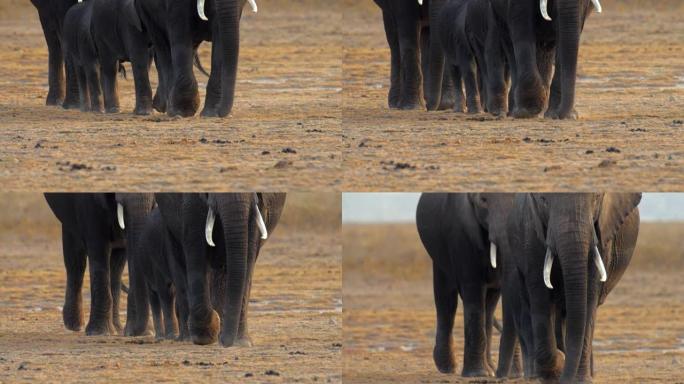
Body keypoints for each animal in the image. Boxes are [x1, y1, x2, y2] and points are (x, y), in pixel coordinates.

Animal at [44, 194, 155, 334]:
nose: (135, 332)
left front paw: (145, 333)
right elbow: (97, 244)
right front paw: (99, 332)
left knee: (116, 266)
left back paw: (117, 328)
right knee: (75, 258)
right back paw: (75, 326)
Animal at [154, 194, 284, 346]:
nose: (226, 342)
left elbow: (249, 249)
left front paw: (240, 342)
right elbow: (195, 242)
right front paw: (206, 335)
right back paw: (191, 337)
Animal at [414, 194, 520, 376]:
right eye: (483, 200)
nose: (502, 376)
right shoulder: (461, 232)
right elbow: (473, 290)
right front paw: (478, 374)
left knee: (489, 305)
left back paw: (490, 368)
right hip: (439, 254)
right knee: (446, 299)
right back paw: (448, 368)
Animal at [496, 194, 640, 382]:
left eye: (596, 199)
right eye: (543, 200)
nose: (565, 377)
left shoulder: (601, 235)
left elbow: (588, 299)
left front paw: (580, 379)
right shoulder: (530, 232)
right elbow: (540, 295)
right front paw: (558, 364)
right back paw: (536, 374)